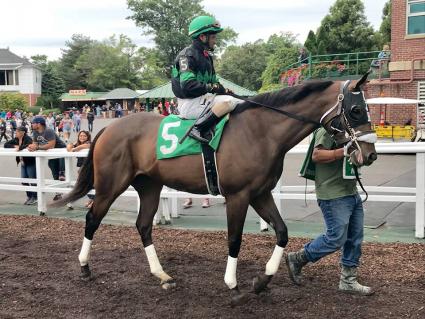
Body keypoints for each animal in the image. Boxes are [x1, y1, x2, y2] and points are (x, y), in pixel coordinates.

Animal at [52, 74, 374, 306]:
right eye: (357, 109)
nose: (369, 154)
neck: (261, 132)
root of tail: (108, 128)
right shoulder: (238, 196)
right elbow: (234, 239)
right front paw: (233, 285)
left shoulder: (261, 194)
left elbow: (282, 232)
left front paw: (263, 280)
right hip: (111, 185)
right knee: (93, 219)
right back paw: (84, 268)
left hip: (150, 186)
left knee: (143, 225)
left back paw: (162, 275)